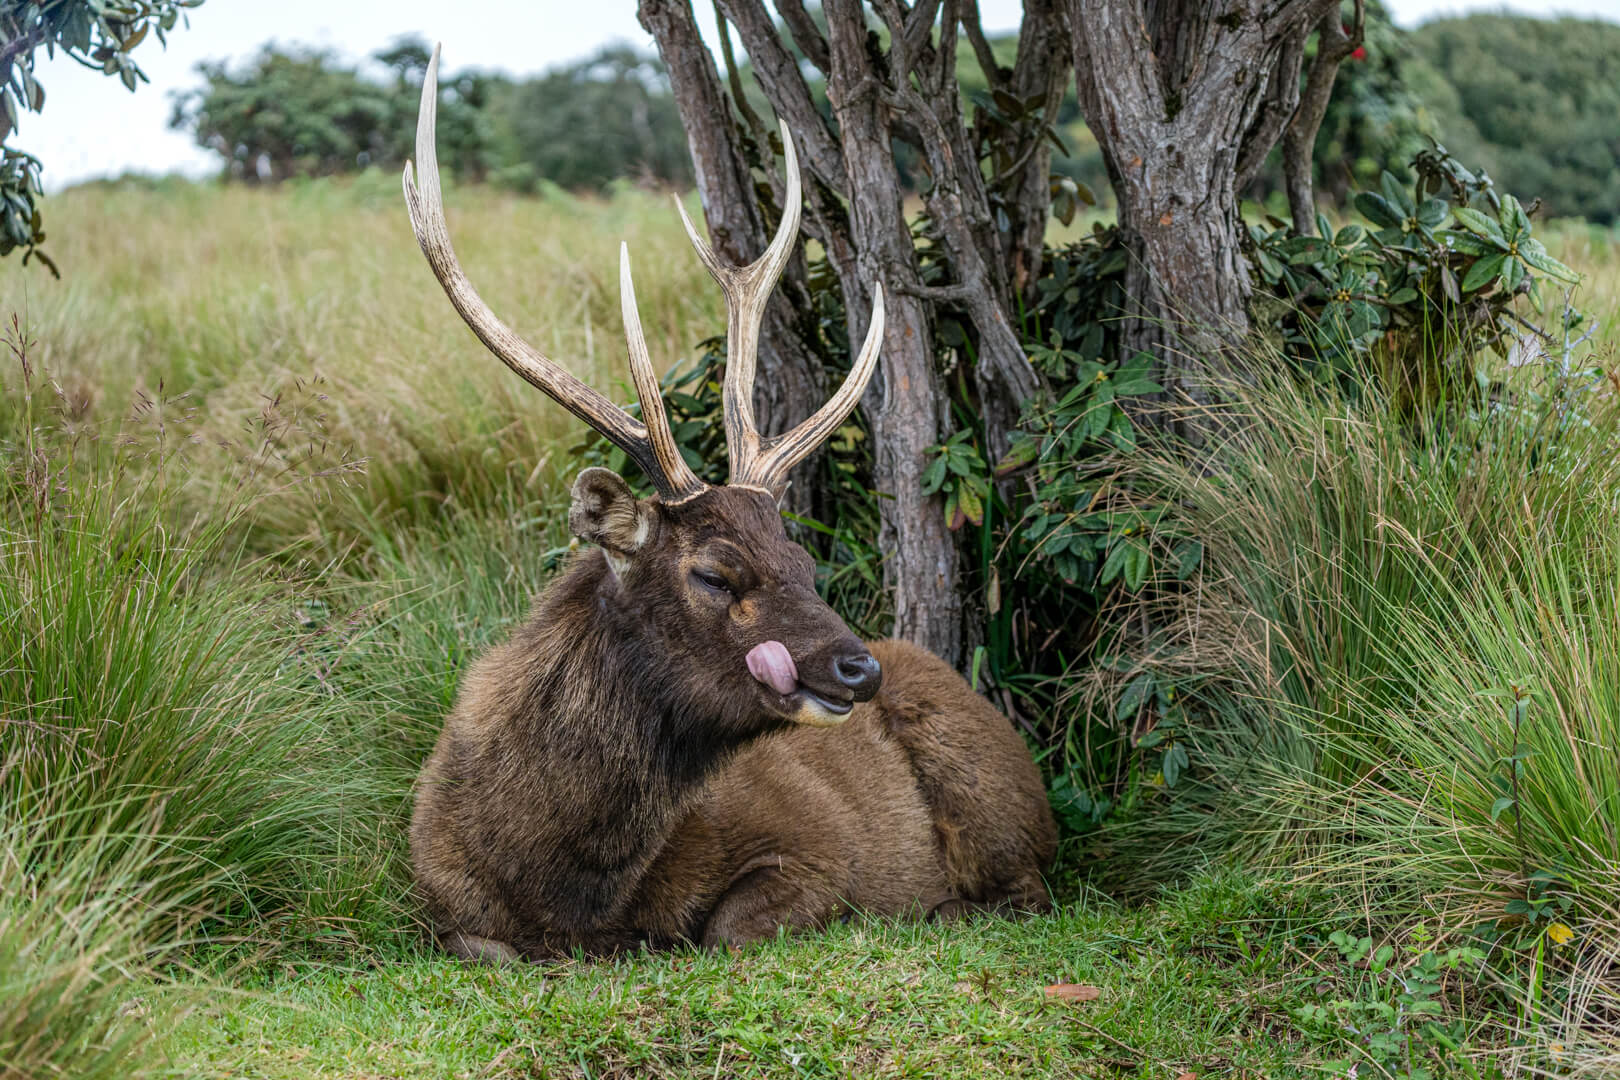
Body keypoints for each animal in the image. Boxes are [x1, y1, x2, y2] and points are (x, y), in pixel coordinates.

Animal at [403, 46, 1056, 965]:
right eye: (715, 573)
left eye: (804, 562)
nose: (857, 669)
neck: (570, 895)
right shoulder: (440, 902)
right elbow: (484, 946)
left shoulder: (815, 847)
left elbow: (727, 929)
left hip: (994, 791)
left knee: (1030, 887)